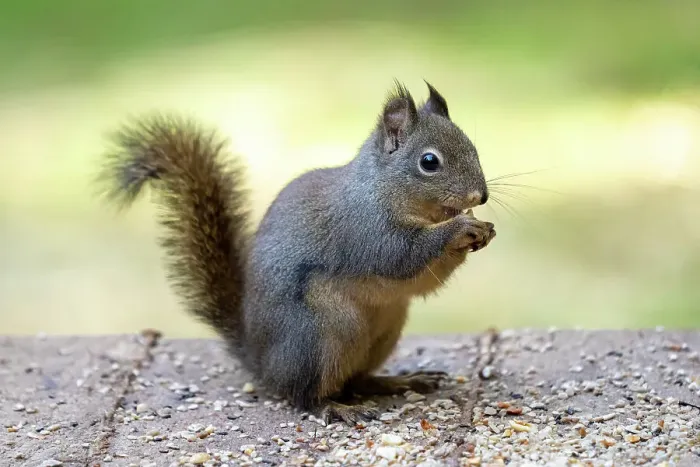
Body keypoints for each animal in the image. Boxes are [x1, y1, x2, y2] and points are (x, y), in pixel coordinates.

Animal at [96, 81, 496, 425]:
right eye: (429, 162)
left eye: (474, 149)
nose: (480, 196)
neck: (384, 189)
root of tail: (261, 361)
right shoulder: (364, 230)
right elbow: (400, 255)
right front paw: (461, 228)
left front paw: (482, 230)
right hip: (319, 336)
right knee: (304, 395)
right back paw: (336, 407)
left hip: (384, 329)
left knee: (356, 380)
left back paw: (400, 380)